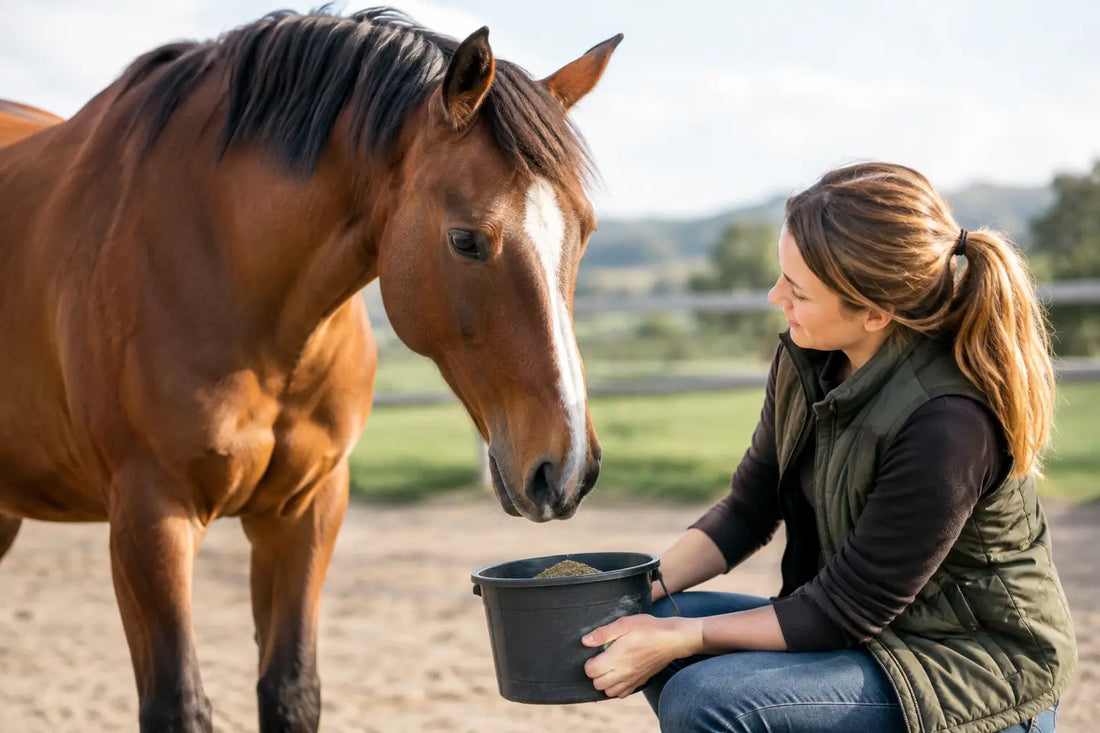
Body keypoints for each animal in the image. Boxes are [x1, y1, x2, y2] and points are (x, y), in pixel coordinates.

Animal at [0, 8, 619, 732]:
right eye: (466, 240)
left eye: (584, 231)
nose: (568, 468)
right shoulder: (148, 520)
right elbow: (179, 703)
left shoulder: (305, 511)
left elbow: (291, 688)